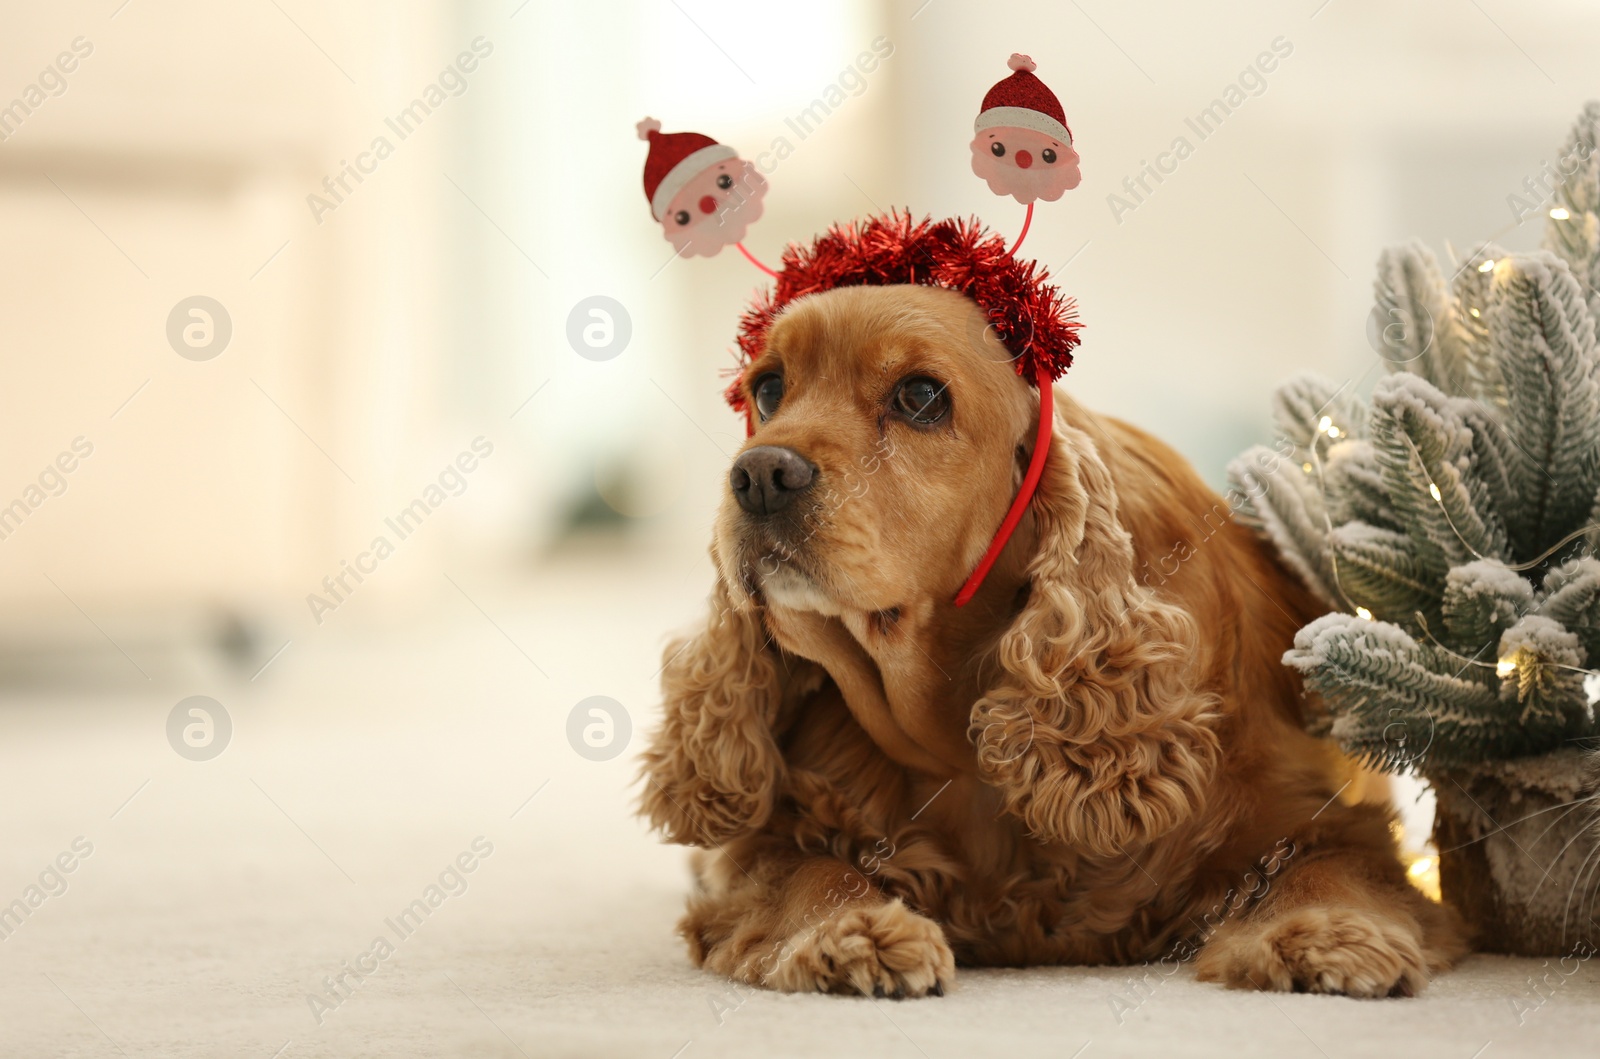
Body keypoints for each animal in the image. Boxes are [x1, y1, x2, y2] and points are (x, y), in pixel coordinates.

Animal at [636, 281, 1465, 998]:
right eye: (768, 388)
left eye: (919, 397)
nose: (759, 476)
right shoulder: (757, 843)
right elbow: (802, 869)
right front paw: (849, 931)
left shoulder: (1324, 810)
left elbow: (1333, 863)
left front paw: (1330, 931)